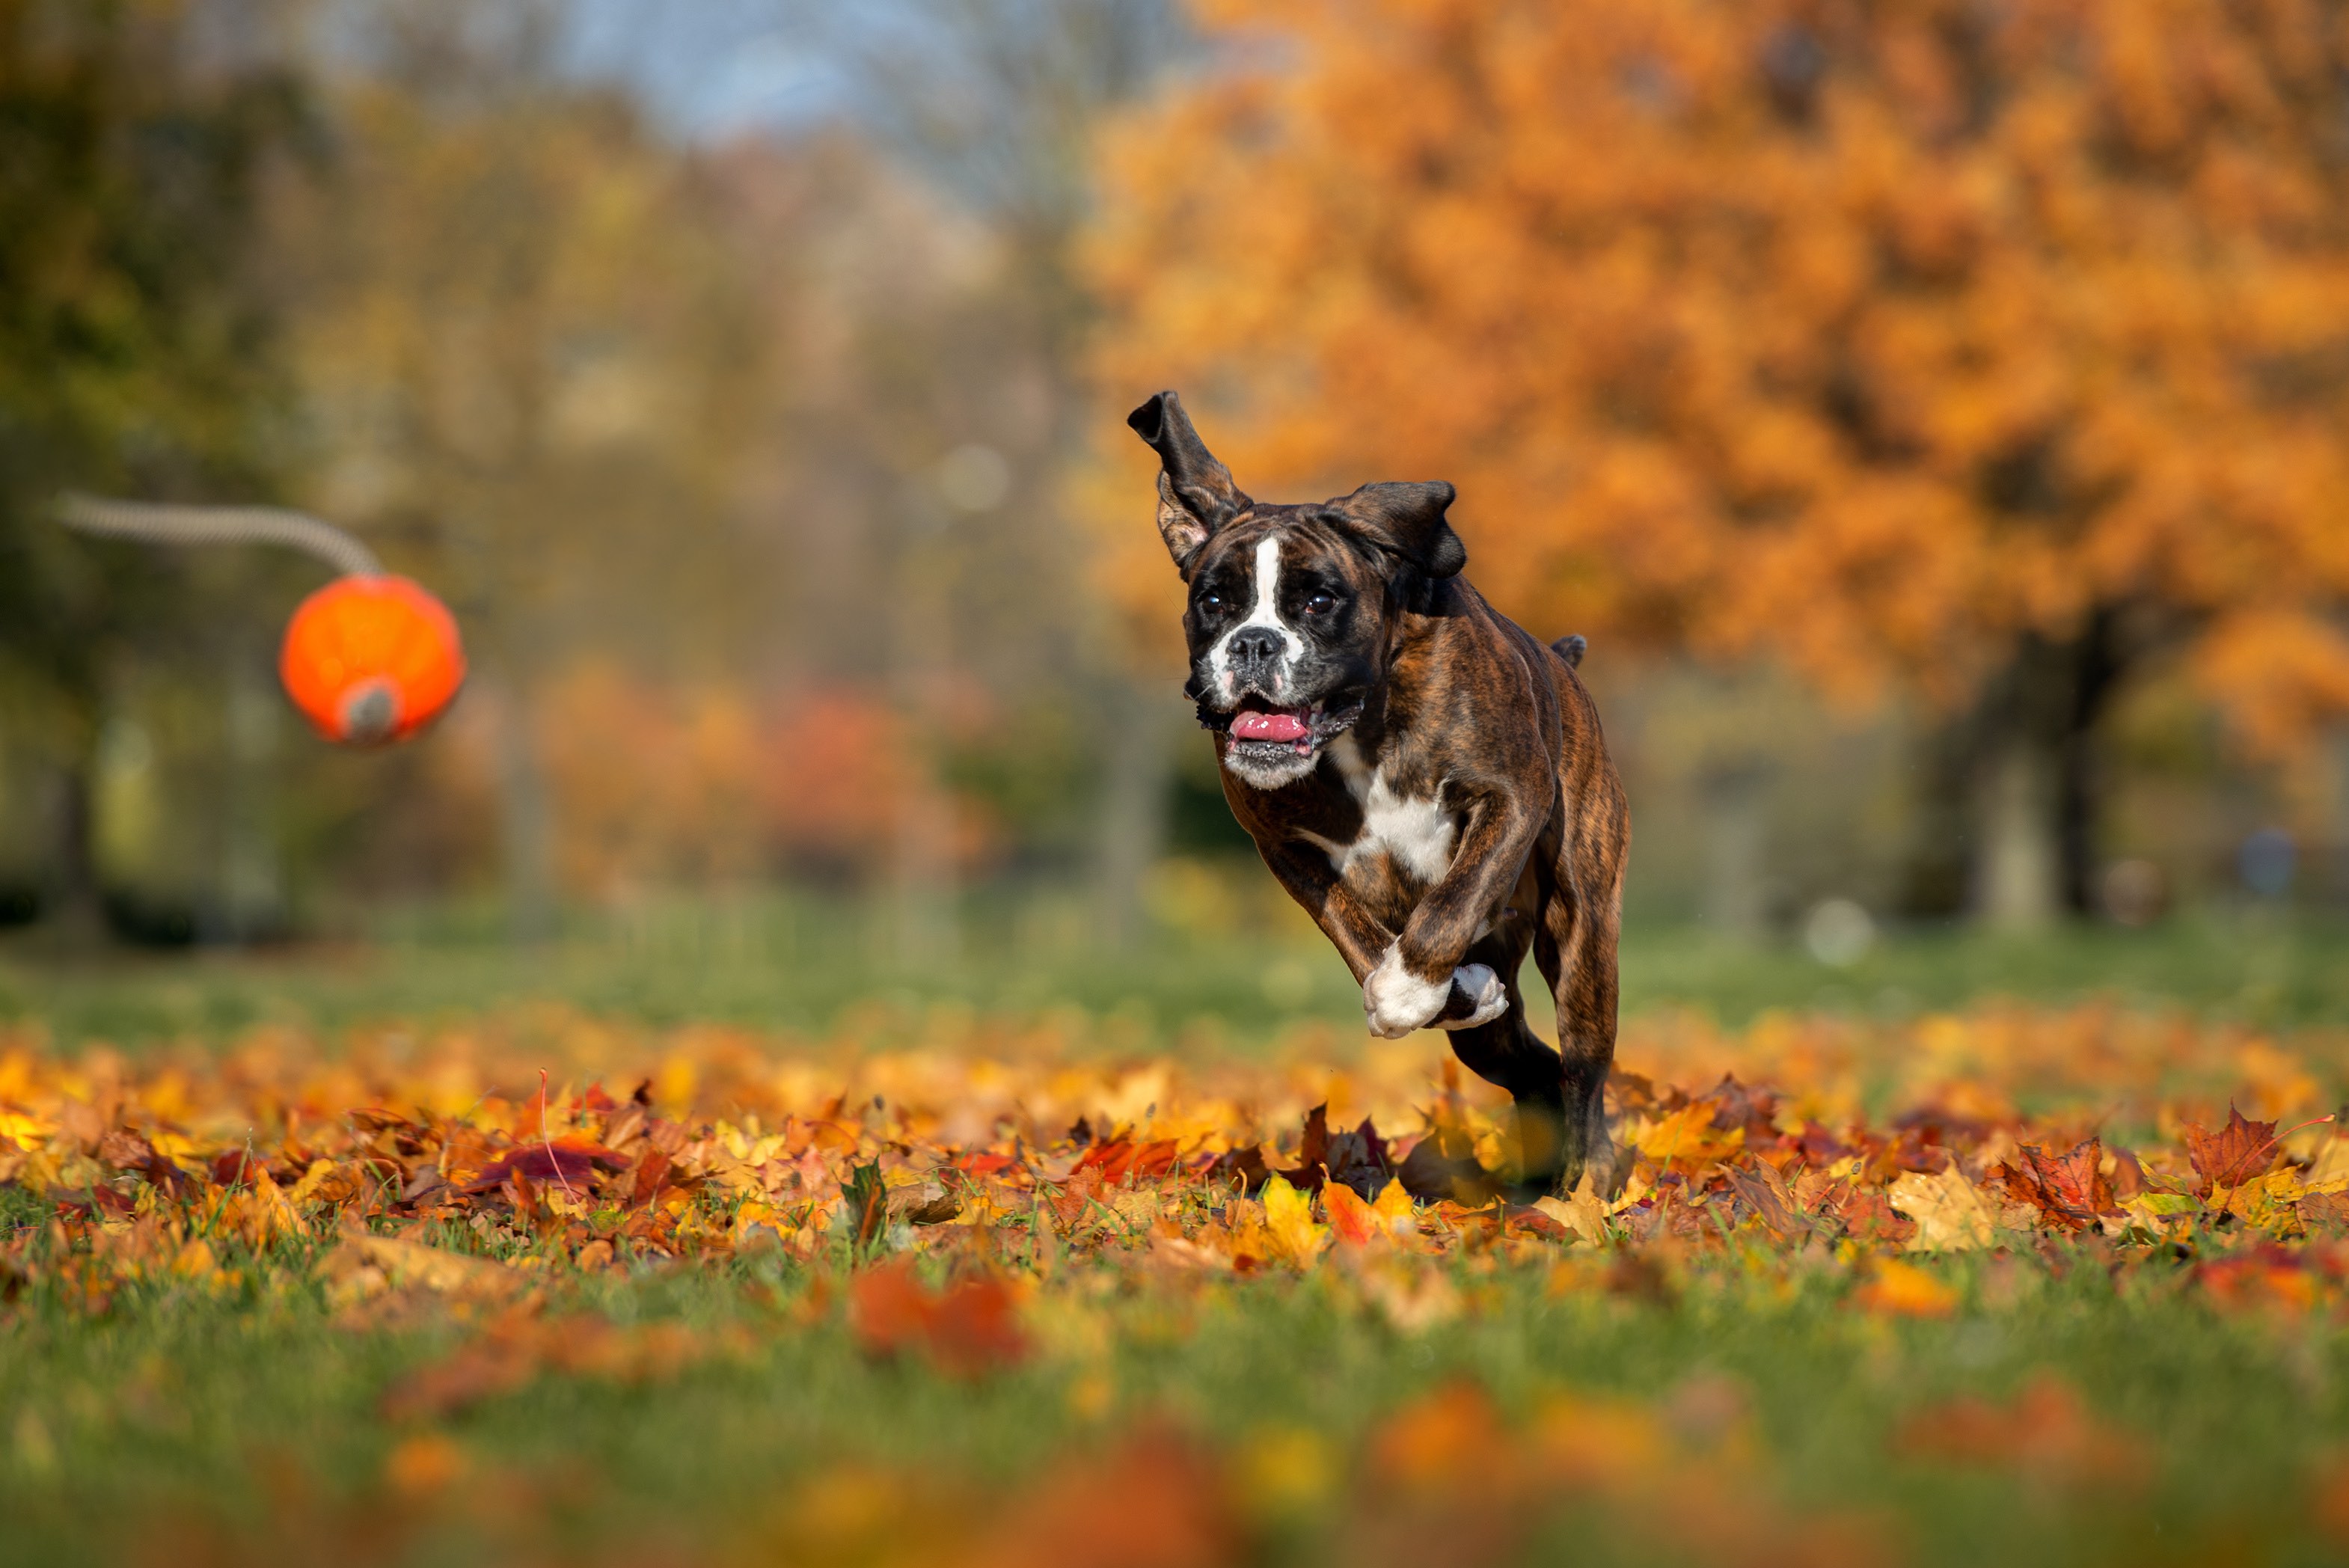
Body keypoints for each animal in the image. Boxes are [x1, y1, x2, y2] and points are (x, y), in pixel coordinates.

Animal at [1127, 389, 1625, 1187]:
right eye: (1213, 601)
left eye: (1319, 600)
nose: (1254, 643)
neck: (1363, 727)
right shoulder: (1287, 850)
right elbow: (1357, 934)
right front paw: (1434, 990)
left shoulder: (1512, 798)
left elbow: (1451, 903)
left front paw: (1407, 989)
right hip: (1500, 1030)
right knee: (1533, 1069)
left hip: (1582, 939)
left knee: (1581, 1076)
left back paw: (1581, 1191)